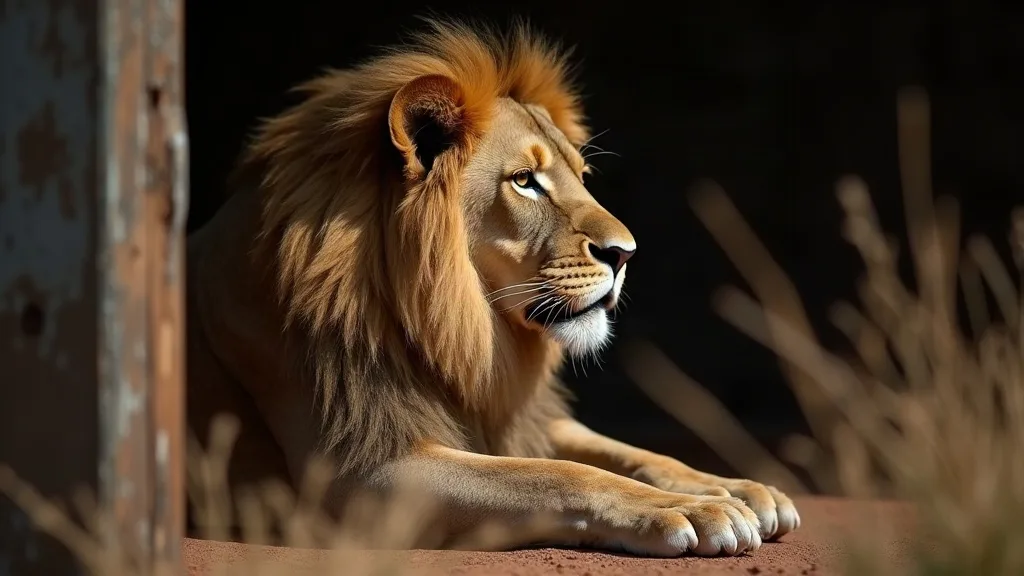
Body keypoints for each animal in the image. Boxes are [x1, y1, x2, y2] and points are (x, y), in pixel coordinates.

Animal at [185, 18, 800, 556]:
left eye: (581, 176)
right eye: (525, 181)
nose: (625, 254)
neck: (464, 335)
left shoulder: (517, 415)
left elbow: (630, 452)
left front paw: (736, 487)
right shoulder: (360, 474)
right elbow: (563, 475)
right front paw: (691, 508)